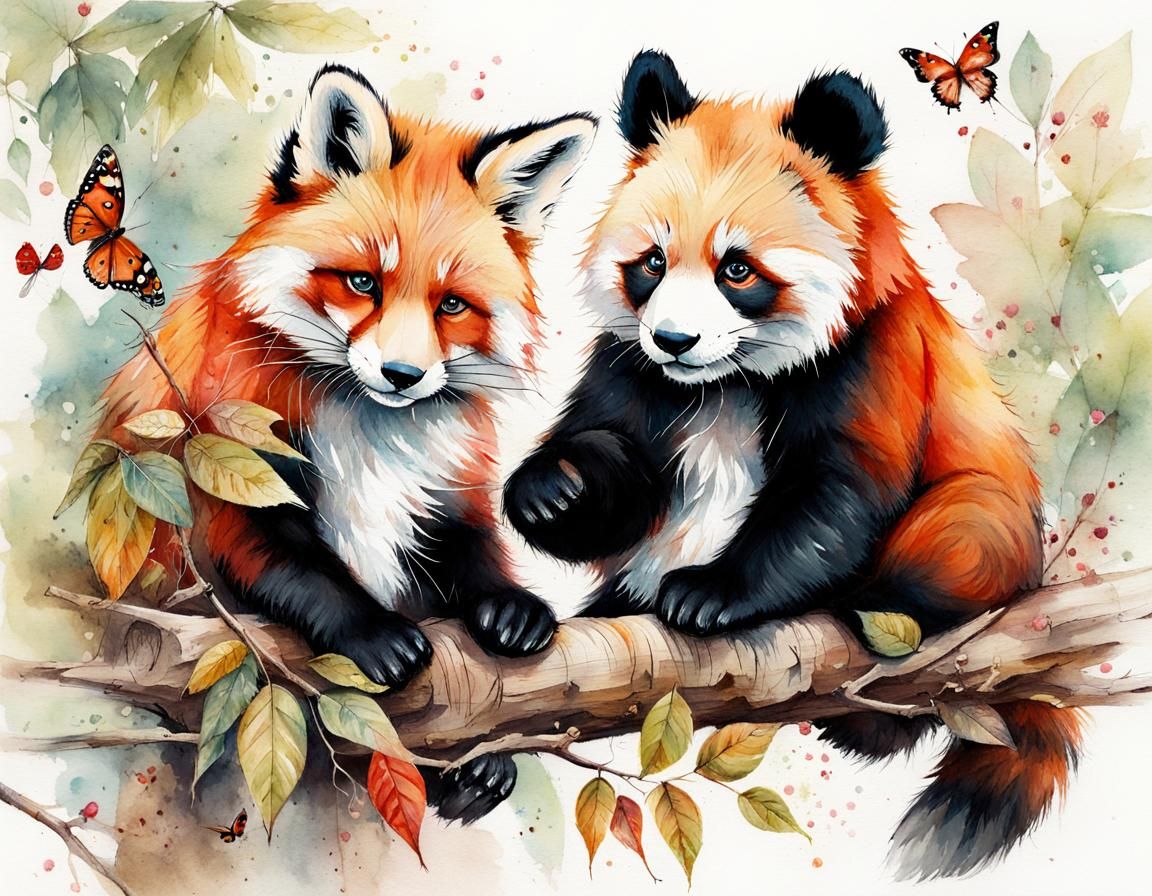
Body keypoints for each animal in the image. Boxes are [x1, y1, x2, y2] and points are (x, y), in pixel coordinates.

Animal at [92, 64, 596, 820]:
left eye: (451, 305)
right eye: (363, 282)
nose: (402, 375)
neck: (370, 440)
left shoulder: (446, 494)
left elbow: (476, 555)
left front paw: (509, 608)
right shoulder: (230, 487)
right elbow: (304, 573)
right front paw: (373, 636)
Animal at [504, 51, 1079, 877]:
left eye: (737, 270)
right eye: (651, 263)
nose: (674, 341)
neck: (724, 385)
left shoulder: (872, 358)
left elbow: (834, 498)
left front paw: (709, 594)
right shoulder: (629, 370)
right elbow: (619, 474)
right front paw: (553, 491)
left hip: (988, 522)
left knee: (958, 535)